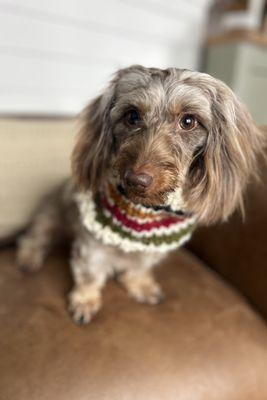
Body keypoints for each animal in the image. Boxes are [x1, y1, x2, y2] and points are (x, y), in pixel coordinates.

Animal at [17, 64, 266, 324]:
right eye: (132, 116)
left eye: (188, 121)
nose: (136, 180)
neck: (144, 213)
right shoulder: (92, 246)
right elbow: (90, 274)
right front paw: (85, 300)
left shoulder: (152, 250)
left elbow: (138, 269)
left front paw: (140, 285)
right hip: (50, 217)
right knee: (34, 238)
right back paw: (29, 257)